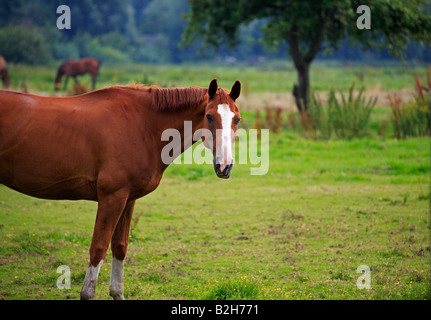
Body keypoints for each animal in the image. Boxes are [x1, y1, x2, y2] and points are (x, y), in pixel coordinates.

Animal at [0, 79, 241, 298]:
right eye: (209, 116)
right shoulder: (112, 198)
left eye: (237, 119)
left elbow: (120, 247)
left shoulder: (127, 199)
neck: (142, 125)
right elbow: (98, 249)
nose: (225, 166)